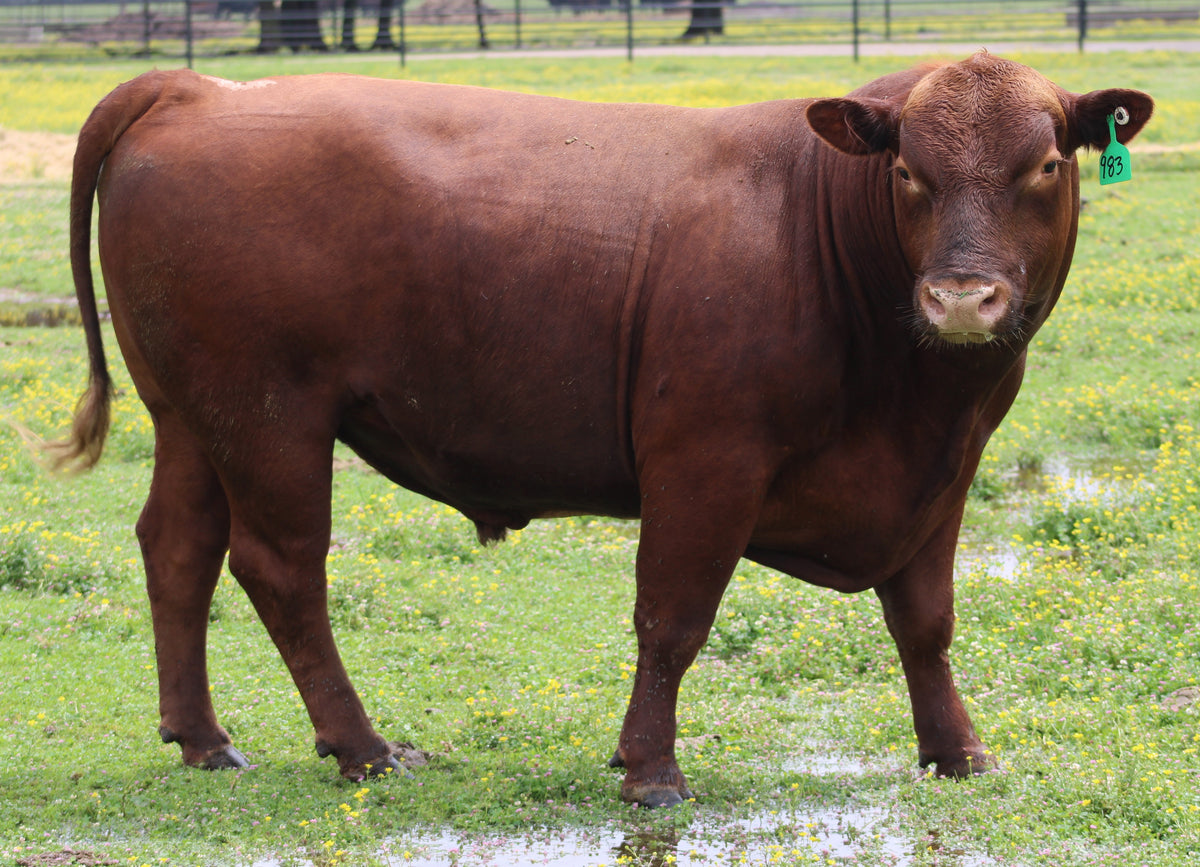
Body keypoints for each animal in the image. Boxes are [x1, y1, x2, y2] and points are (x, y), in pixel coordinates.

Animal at [56, 53, 1152, 807]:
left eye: (1045, 164)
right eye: (910, 173)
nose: (962, 297)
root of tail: (200, 89)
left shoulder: (944, 475)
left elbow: (925, 621)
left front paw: (958, 750)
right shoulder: (705, 461)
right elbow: (673, 618)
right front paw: (651, 768)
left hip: (190, 415)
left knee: (179, 549)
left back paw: (204, 738)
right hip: (271, 416)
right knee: (281, 568)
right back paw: (363, 748)